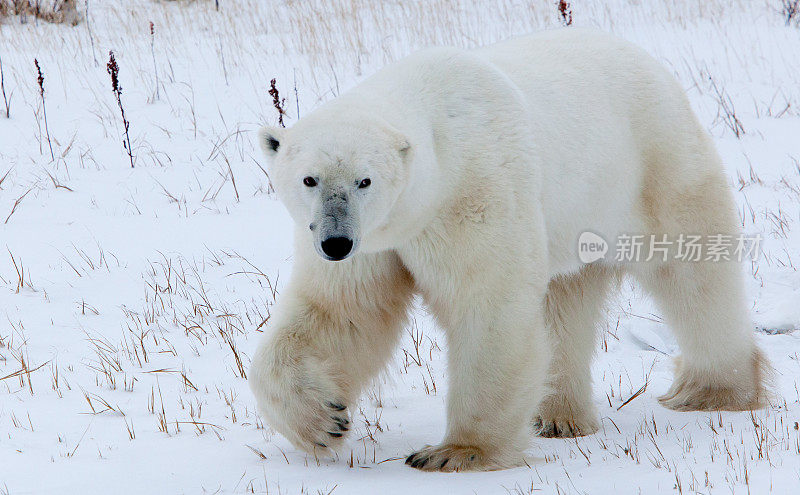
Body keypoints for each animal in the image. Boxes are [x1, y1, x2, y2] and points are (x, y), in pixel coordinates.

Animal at [250, 28, 768, 472]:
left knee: (692, 275)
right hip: (573, 215)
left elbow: (487, 305)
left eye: (365, 180)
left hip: (653, 165)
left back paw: (713, 390)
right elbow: (341, 313)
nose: (336, 242)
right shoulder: (377, 241)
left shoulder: (472, 192)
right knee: (566, 300)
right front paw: (323, 421)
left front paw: (456, 452)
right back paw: (558, 417)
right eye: (310, 179)